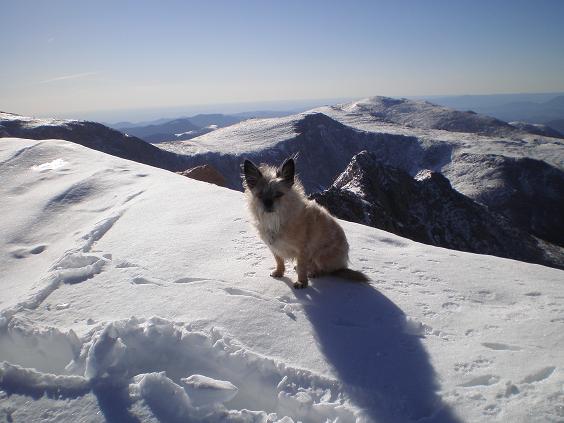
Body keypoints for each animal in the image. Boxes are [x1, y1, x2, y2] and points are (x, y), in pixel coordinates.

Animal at [240, 157, 368, 290]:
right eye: (260, 195)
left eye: (278, 194)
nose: (268, 202)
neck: (277, 220)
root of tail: (341, 266)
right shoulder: (274, 248)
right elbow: (279, 260)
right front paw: (279, 272)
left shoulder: (303, 249)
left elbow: (302, 267)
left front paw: (301, 282)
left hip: (320, 255)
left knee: (324, 270)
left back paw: (314, 272)